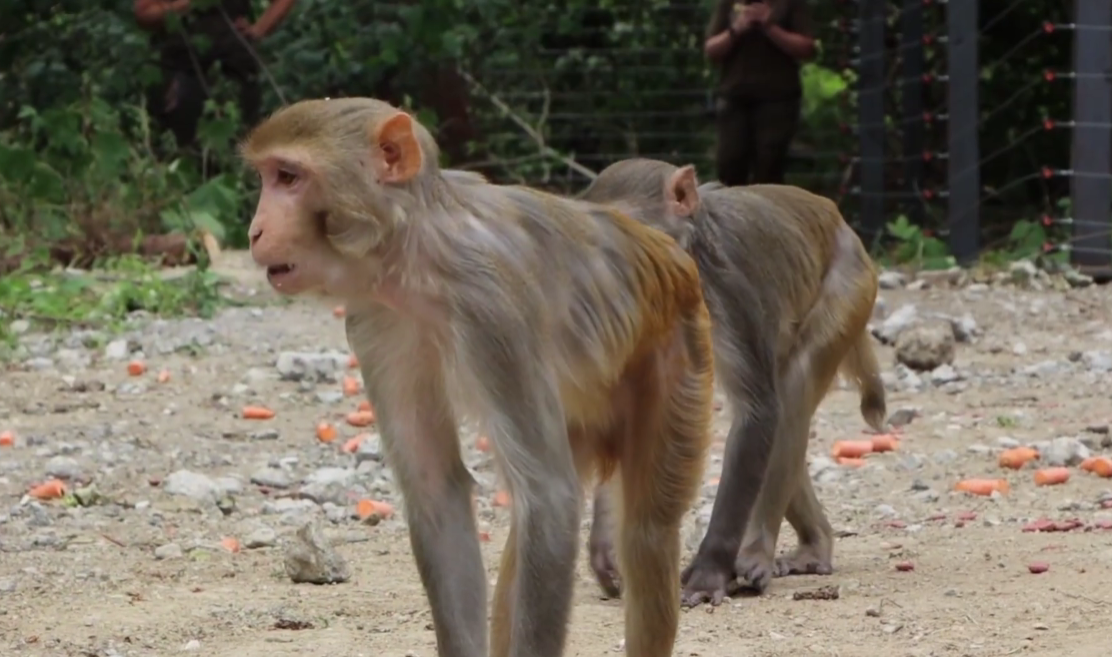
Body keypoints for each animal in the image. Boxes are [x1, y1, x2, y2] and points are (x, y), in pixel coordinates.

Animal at [240, 100, 714, 657]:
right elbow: (437, 490)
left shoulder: (493, 309)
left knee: (645, 534)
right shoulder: (377, 322)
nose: (254, 231)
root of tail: (670, 255)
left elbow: (550, 498)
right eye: (268, 176)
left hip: (679, 354)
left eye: (289, 177)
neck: (420, 256)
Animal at [578, 158, 886, 606]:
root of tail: (832, 213)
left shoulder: (727, 289)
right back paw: (813, 544)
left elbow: (758, 411)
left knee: (791, 392)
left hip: (851, 282)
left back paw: (758, 550)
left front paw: (710, 571)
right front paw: (606, 548)